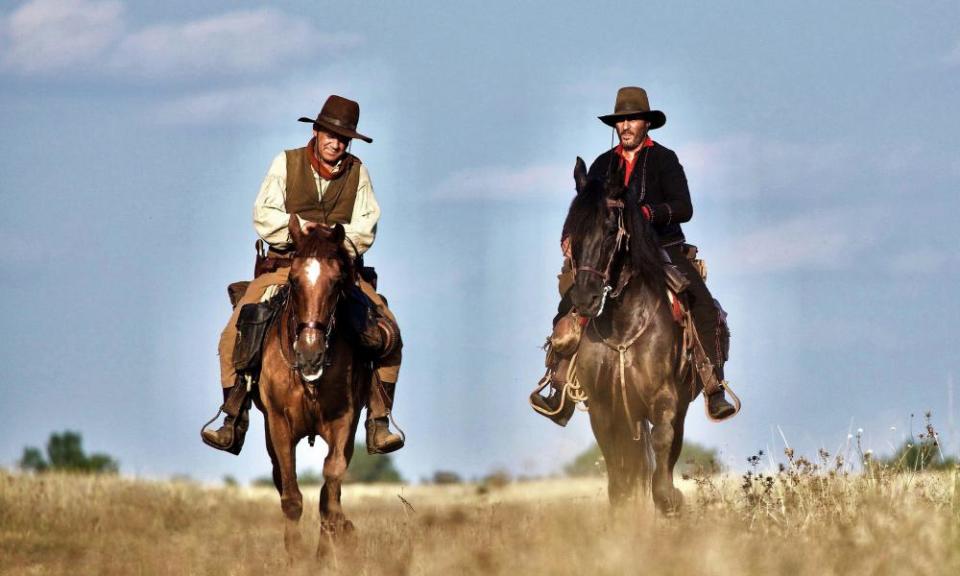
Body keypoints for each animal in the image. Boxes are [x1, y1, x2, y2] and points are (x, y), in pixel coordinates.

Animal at [255, 216, 372, 552]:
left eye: (336, 282)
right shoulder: (278, 424)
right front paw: (296, 555)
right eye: (294, 281)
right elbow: (291, 497)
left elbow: (330, 489)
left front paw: (329, 548)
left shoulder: (344, 421)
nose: (310, 354)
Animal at [564, 158, 688, 512]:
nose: (585, 298)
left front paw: (669, 498)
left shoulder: (664, 397)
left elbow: (662, 442)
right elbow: (617, 468)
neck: (623, 322)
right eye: (572, 231)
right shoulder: (604, 408)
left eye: (610, 230)